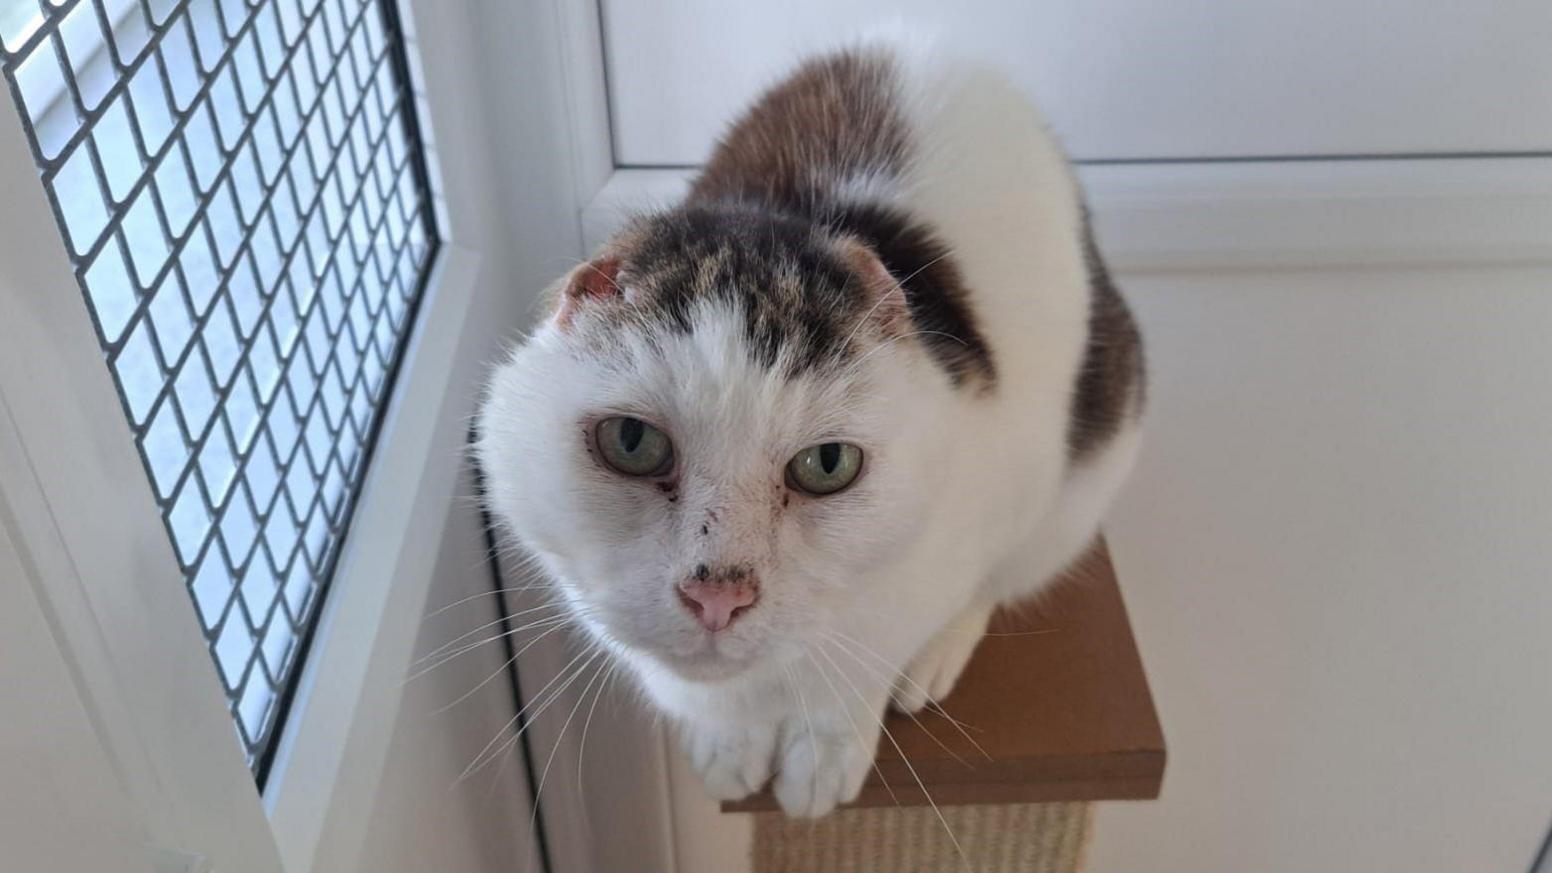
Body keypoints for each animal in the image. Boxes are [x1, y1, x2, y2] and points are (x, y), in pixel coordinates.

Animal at [471, 40, 1142, 813]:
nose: (717, 596)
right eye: (632, 443)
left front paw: (825, 750)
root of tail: (930, 45)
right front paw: (728, 744)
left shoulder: (1003, 489)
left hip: (1088, 465)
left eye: (828, 463)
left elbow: (871, 659)